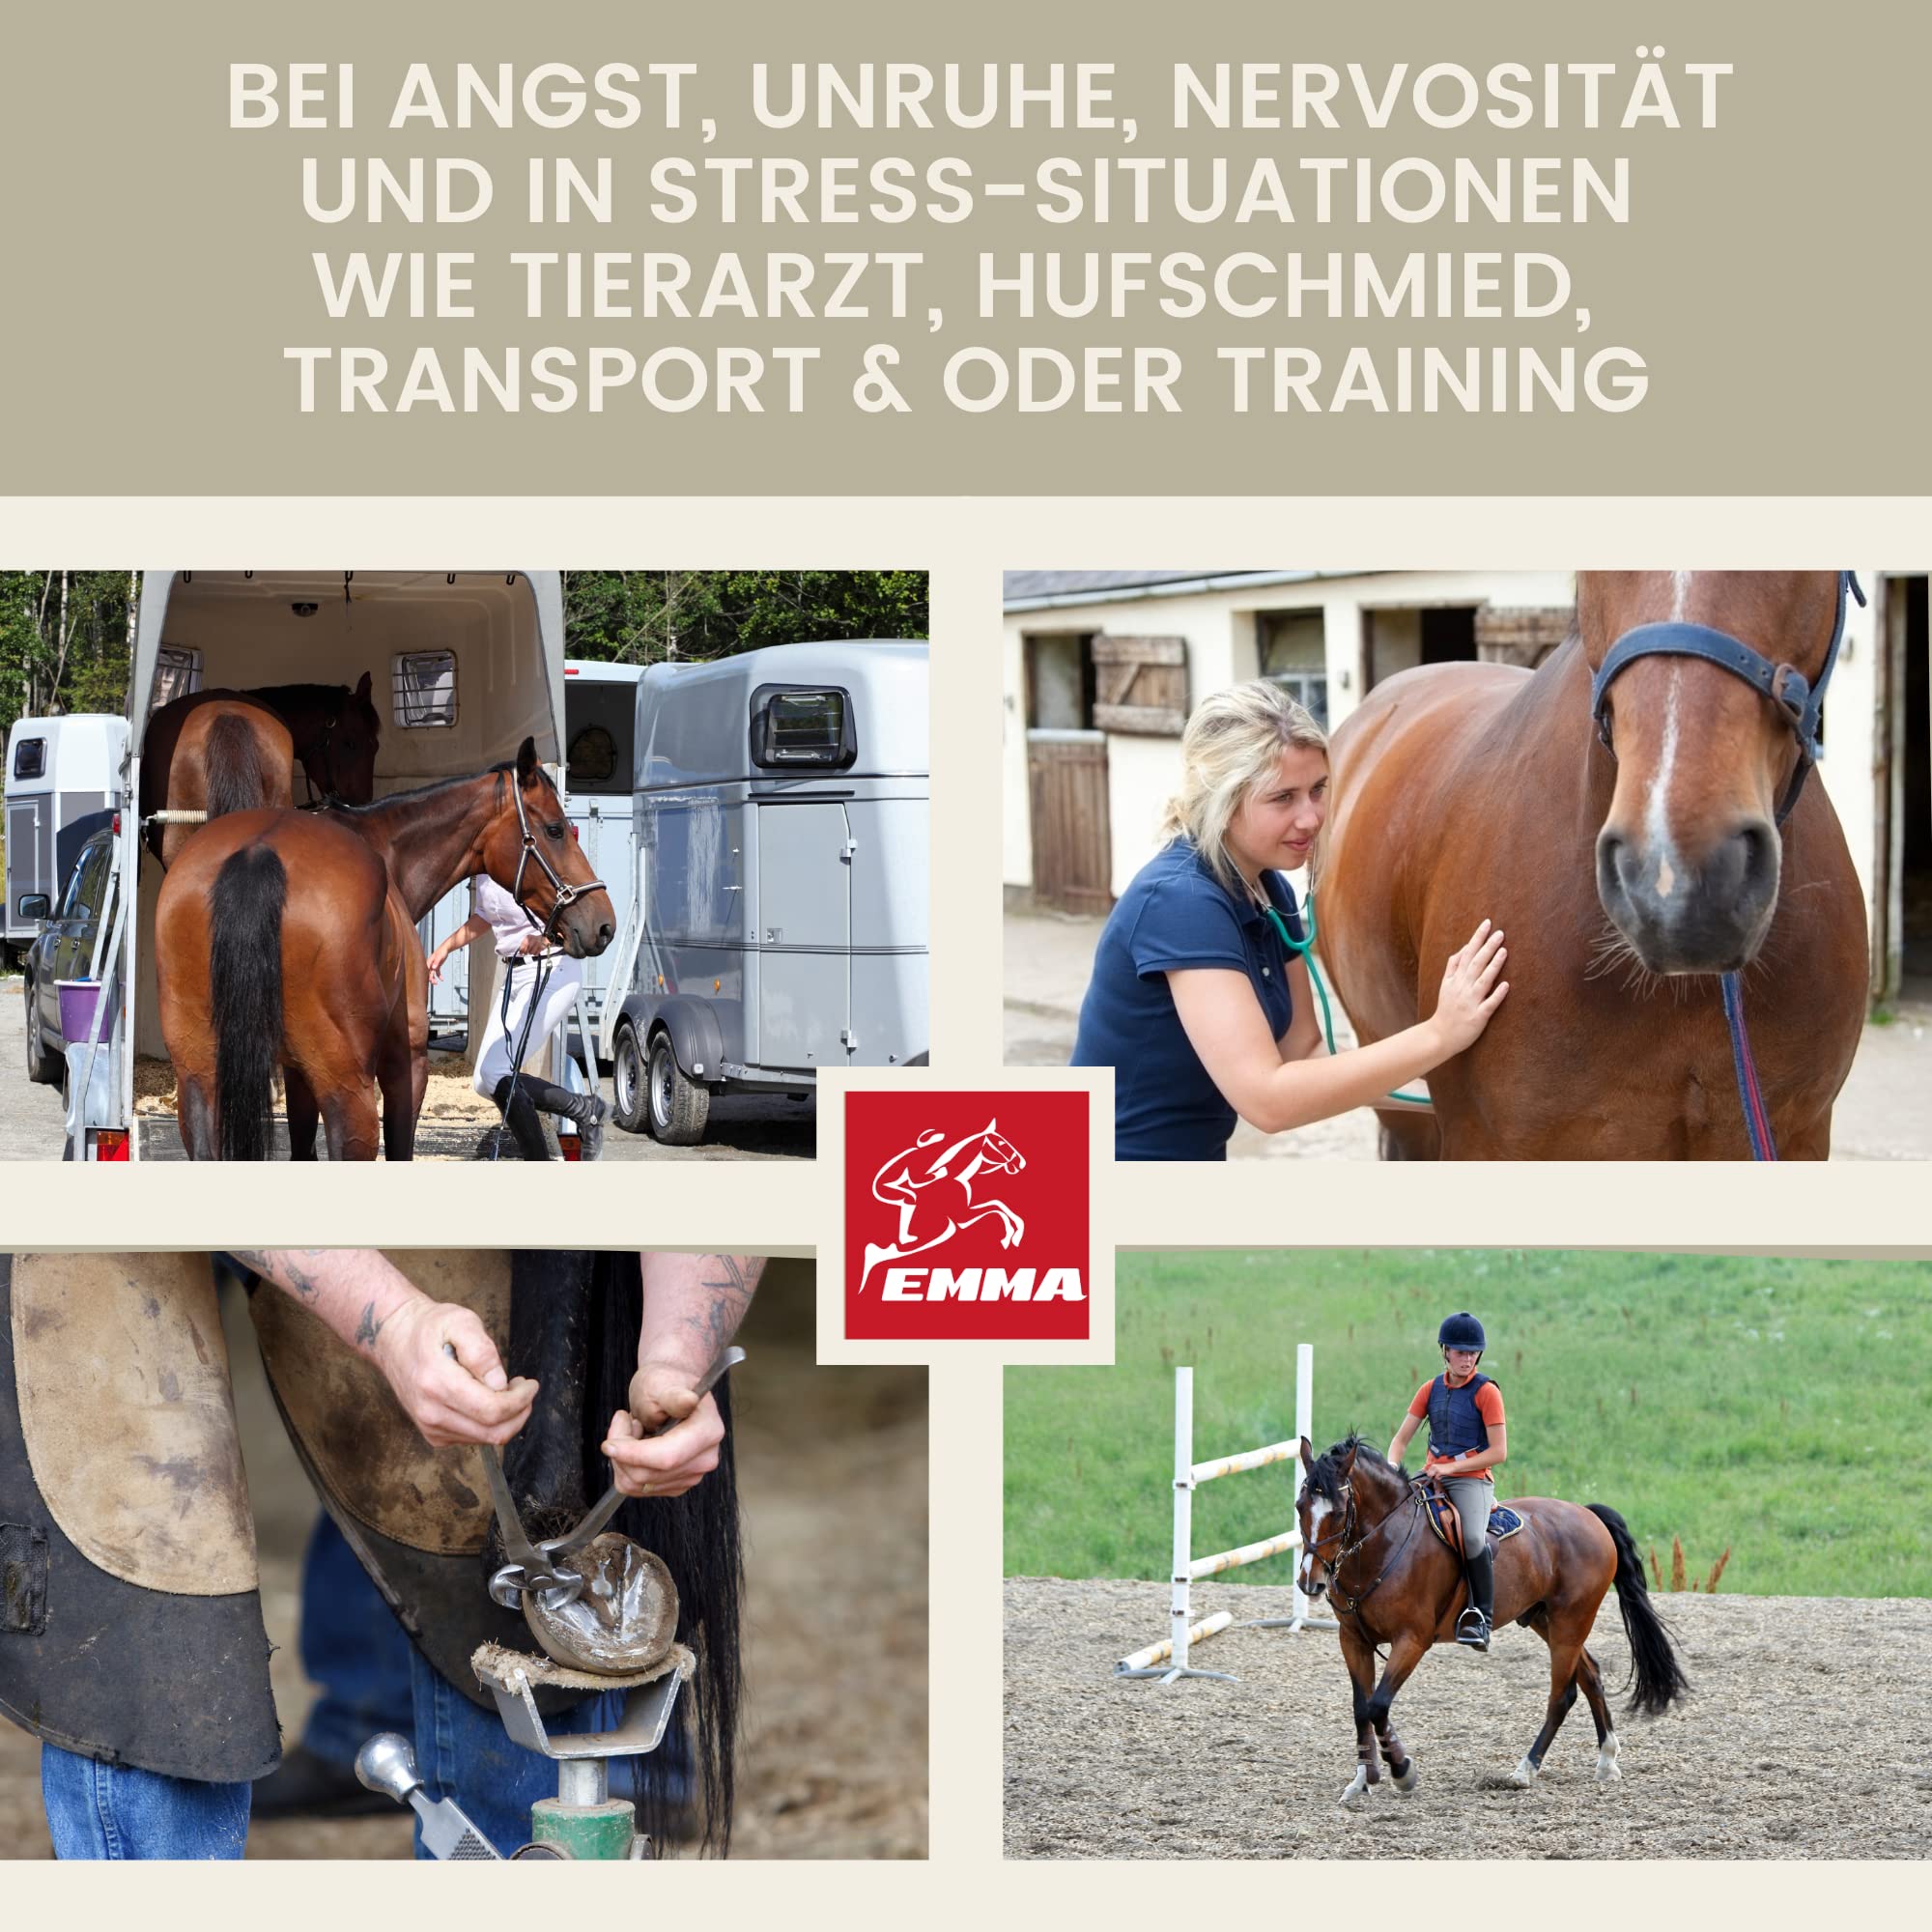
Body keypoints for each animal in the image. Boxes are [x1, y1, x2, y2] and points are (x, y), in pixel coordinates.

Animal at [153, 737, 613, 1159]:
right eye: (555, 829)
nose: (603, 924)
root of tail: (257, 852)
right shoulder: (405, 1062)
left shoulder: (297, 1071)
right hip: (348, 1090)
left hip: (199, 1077)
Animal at [1295, 1435, 1688, 1807]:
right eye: (1300, 1507)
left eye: (1338, 1512)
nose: (1310, 1582)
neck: (1382, 1545)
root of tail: (1587, 1514)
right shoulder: (1353, 1639)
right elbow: (1362, 1708)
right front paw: (1363, 1779)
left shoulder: (1412, 1640)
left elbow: (1378, 1705)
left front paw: (1402, 1770)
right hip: (1546, 1620)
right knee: (1590, 1675)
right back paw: (1606, 1759)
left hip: (1570, 1621)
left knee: (1561, 1695)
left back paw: (1525, 1770)